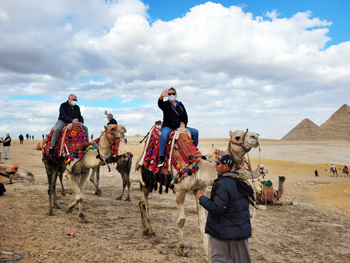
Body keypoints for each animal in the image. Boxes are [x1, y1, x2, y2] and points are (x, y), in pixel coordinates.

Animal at [135, 128, 262, 262]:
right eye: (237, 137)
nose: (255, 137)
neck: (198, 168)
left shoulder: (201, 189)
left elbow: (202, 221)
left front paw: (208, 256)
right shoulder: (180, 192)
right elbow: (181, 220)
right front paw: (181, 249)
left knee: (141, 201)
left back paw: (145, 229)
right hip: (146, 180)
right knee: (145, 201)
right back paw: (151, 230)